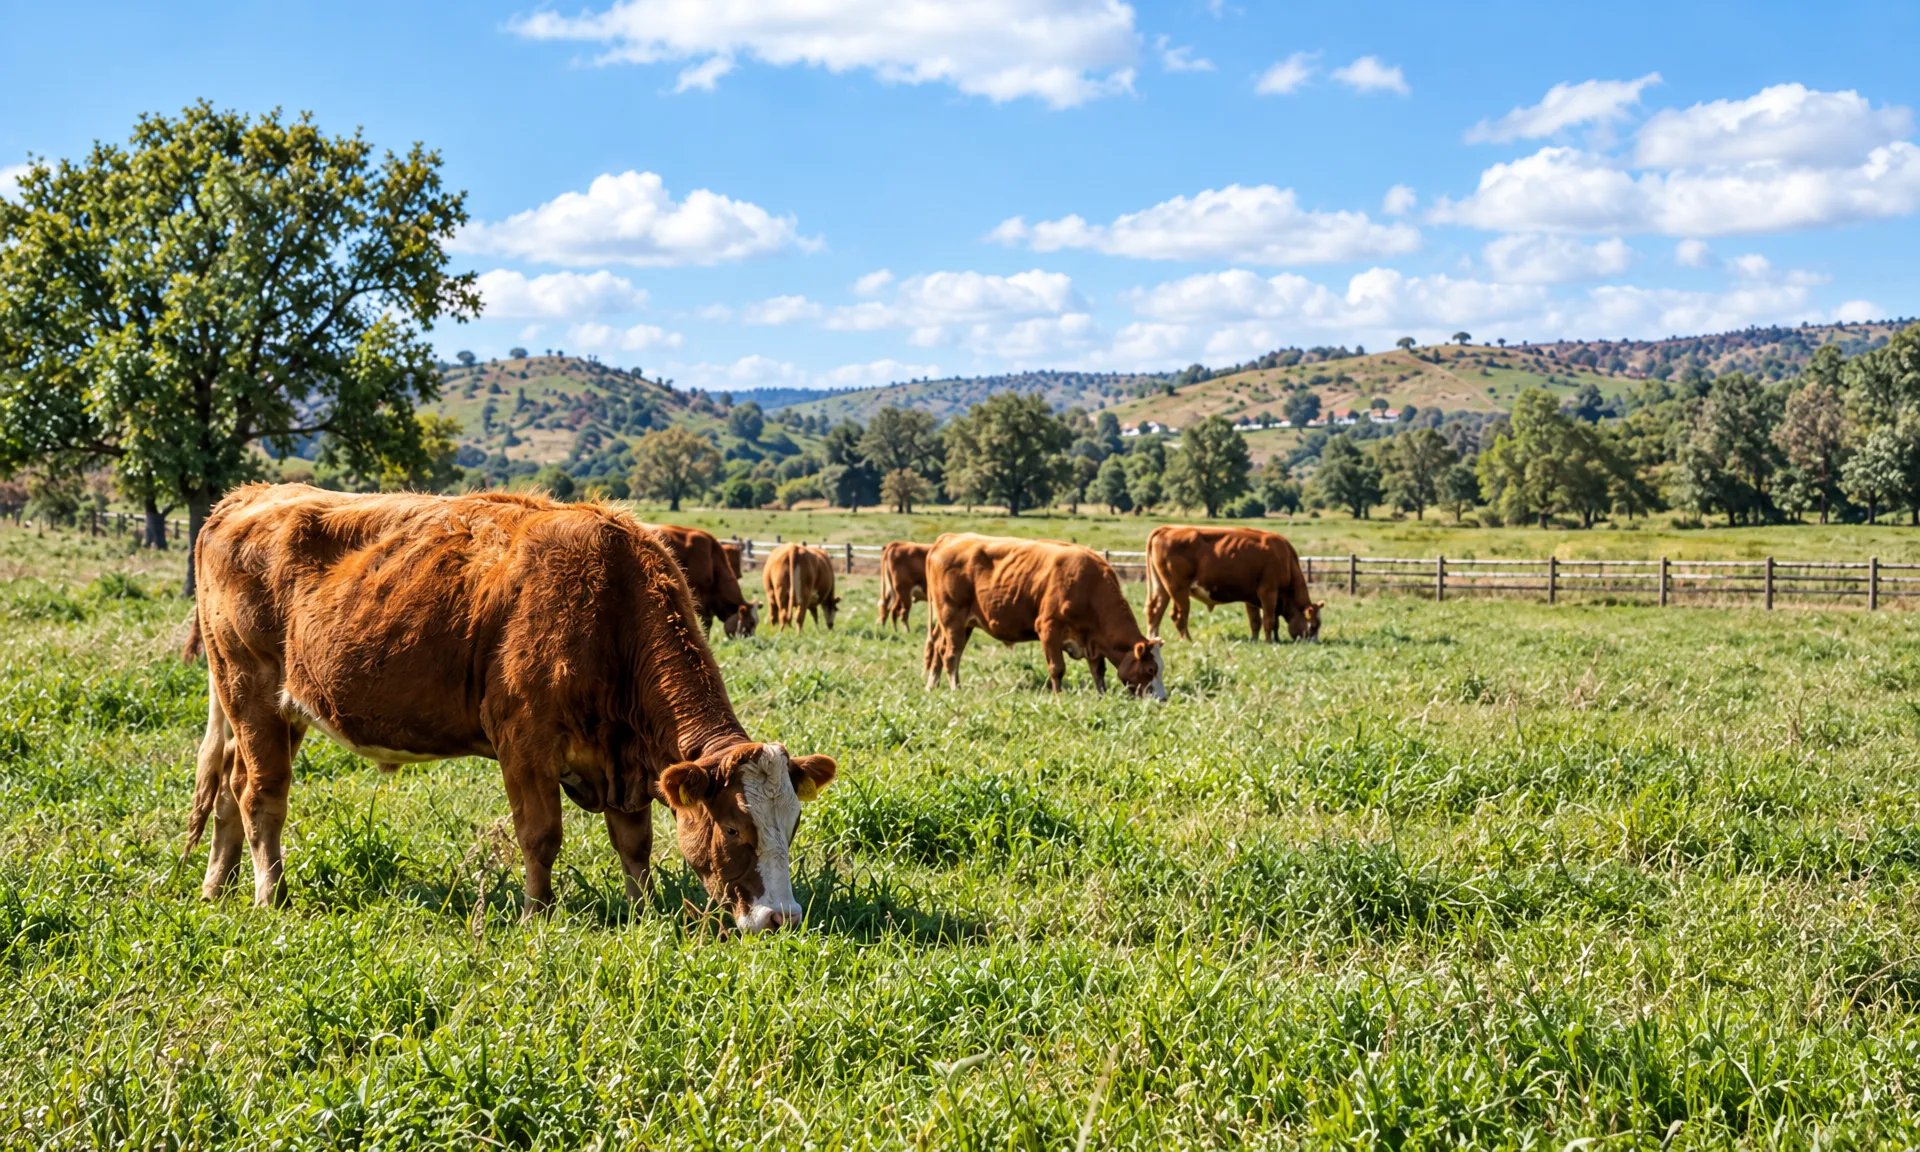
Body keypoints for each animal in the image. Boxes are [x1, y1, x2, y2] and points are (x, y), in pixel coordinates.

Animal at [184, 484, 837, 932]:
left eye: (793, 824)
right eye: (733, 826)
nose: (781, 918)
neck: (611, 601)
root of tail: (248, 496)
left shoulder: (622, 762)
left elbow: (635, 844)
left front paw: (645, 911)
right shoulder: (525, 743)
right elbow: (541, 837)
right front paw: (537, 916)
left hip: (273, 706)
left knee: (229, 786)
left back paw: (218, 886)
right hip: (249, 688)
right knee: (261, 795)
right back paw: (271, 896)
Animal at [923, 533, 1165, 698]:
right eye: (1151, 669)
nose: (1162, 700)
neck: (1089, 586)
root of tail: (950, 537)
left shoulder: (1092, 640)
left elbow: (1098, 671)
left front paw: (1101, 697)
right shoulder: (1049, 628)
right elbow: (1057, 668)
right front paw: (1059, 698)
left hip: (959, 623)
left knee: (939, 648)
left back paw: (932, 685)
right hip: (952, 617)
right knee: (951, 654)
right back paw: (955, 688)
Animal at [1145, 525, 1324, 643]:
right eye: (1313, 626)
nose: (1315, 643)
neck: (1284, 558)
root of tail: (1168, 528)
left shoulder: (1252, 596)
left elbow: (1256, 621)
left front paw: (1255, 640)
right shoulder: (1268, 591)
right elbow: (1269, 620)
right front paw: (1269, 642)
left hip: (1162, 588)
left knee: (1155, 611)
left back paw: (1153, 639)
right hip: (1178, 589)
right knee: (1178, 614)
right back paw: (1187, 639)